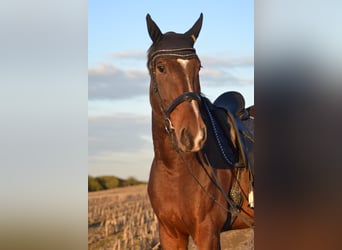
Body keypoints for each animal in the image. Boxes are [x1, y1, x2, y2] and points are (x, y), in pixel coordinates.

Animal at [145, 14, 254, 250]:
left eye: (198, 67)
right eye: (161, 67)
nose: (193, 135)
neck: (173, 171)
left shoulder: (207, 234)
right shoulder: (170, 234)